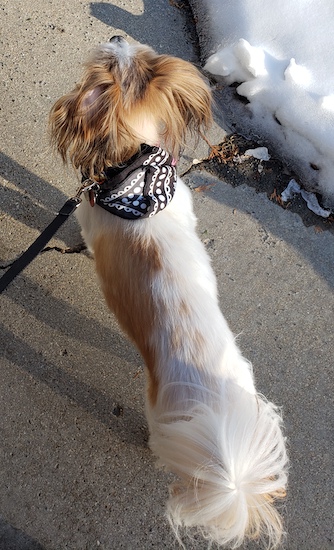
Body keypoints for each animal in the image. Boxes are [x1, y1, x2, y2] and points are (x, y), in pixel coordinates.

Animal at [49, 36, 288, 548]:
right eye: (139, 56)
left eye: (114, 58)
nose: (117, 36)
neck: (139, 178)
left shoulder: (90, 221)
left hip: (163, 419)